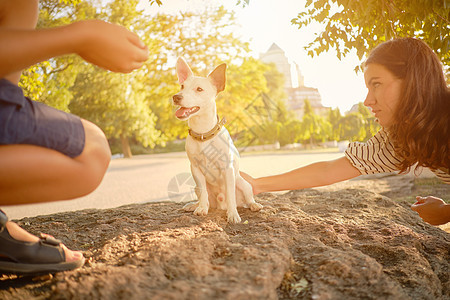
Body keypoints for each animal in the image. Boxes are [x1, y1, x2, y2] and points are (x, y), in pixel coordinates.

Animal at [173, 58, 264, 223]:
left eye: (199, 89)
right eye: (182, 86)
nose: (176, 97)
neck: (203, 133)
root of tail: (220, 205)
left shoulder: (227, 169)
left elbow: (230, 194)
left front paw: (233, 214)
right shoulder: (195, 169)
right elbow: (203, 192)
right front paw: (201, 208)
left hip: (243, 183)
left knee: (246, 198)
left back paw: (253, 205)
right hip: (197, 187)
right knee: (204, 197)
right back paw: (194, 205)